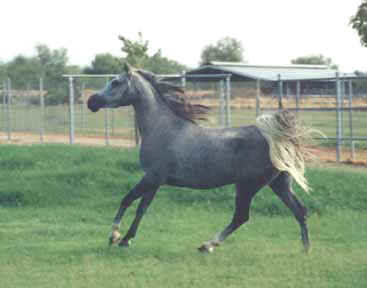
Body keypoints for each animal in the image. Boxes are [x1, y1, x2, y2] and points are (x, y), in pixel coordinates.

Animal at [87, 64, 314, 253]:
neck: (162, 129)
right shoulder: (155, 181)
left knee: (241, 216)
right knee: (300, 211)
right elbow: (142, 208)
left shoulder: (152, 177)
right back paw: (305, 249)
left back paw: (207, 245)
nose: (91, 101)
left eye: (115, 82)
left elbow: (127, 199)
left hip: (248, 186)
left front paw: (114, 236)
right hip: (279, 184)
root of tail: (278, 139)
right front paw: (126, 239)